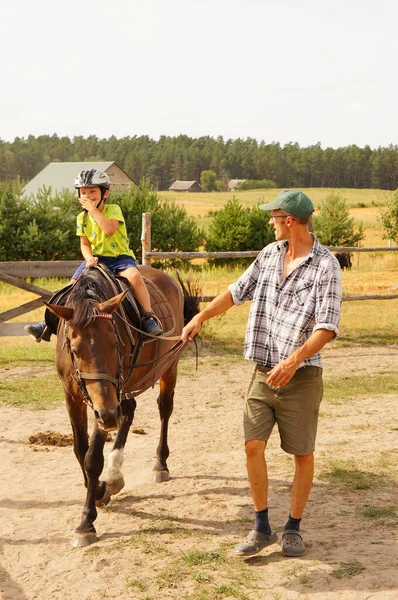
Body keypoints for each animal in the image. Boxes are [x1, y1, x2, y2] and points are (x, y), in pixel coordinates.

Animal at [45, 264, 199, 548]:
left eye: (115, 342)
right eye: (75, 348)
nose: (107, 415)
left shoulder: (105, 403)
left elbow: (93, 458)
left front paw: (86, 522)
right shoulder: (74, 397)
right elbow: (80, 450)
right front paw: (99, 490)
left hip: (168, 366)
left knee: (164, 409)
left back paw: (160, 465)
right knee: (128, 412)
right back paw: (115, 472)